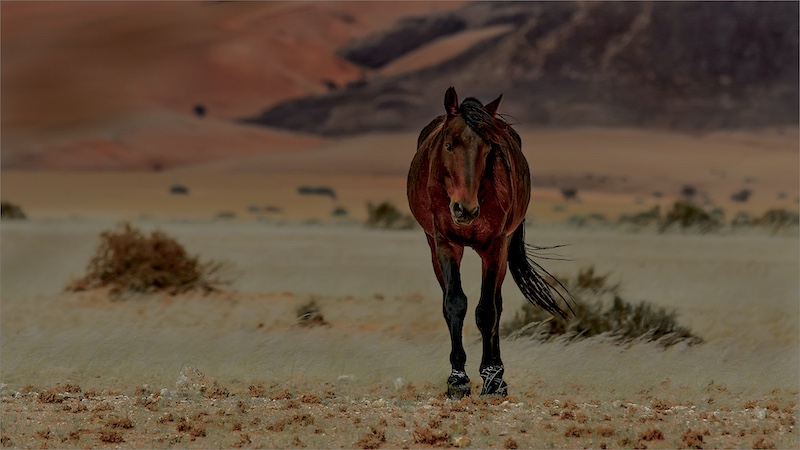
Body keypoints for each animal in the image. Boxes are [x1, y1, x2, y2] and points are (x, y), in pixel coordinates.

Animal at [407, 87, 571, 398]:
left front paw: (493, 379)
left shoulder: (495, 245)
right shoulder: (445, 243)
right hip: (435, 247)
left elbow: (488, 310)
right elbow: (455, 303)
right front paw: (457, 380)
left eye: (489, 149)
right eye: (449, 145)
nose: (465, 209)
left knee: (497, 304)